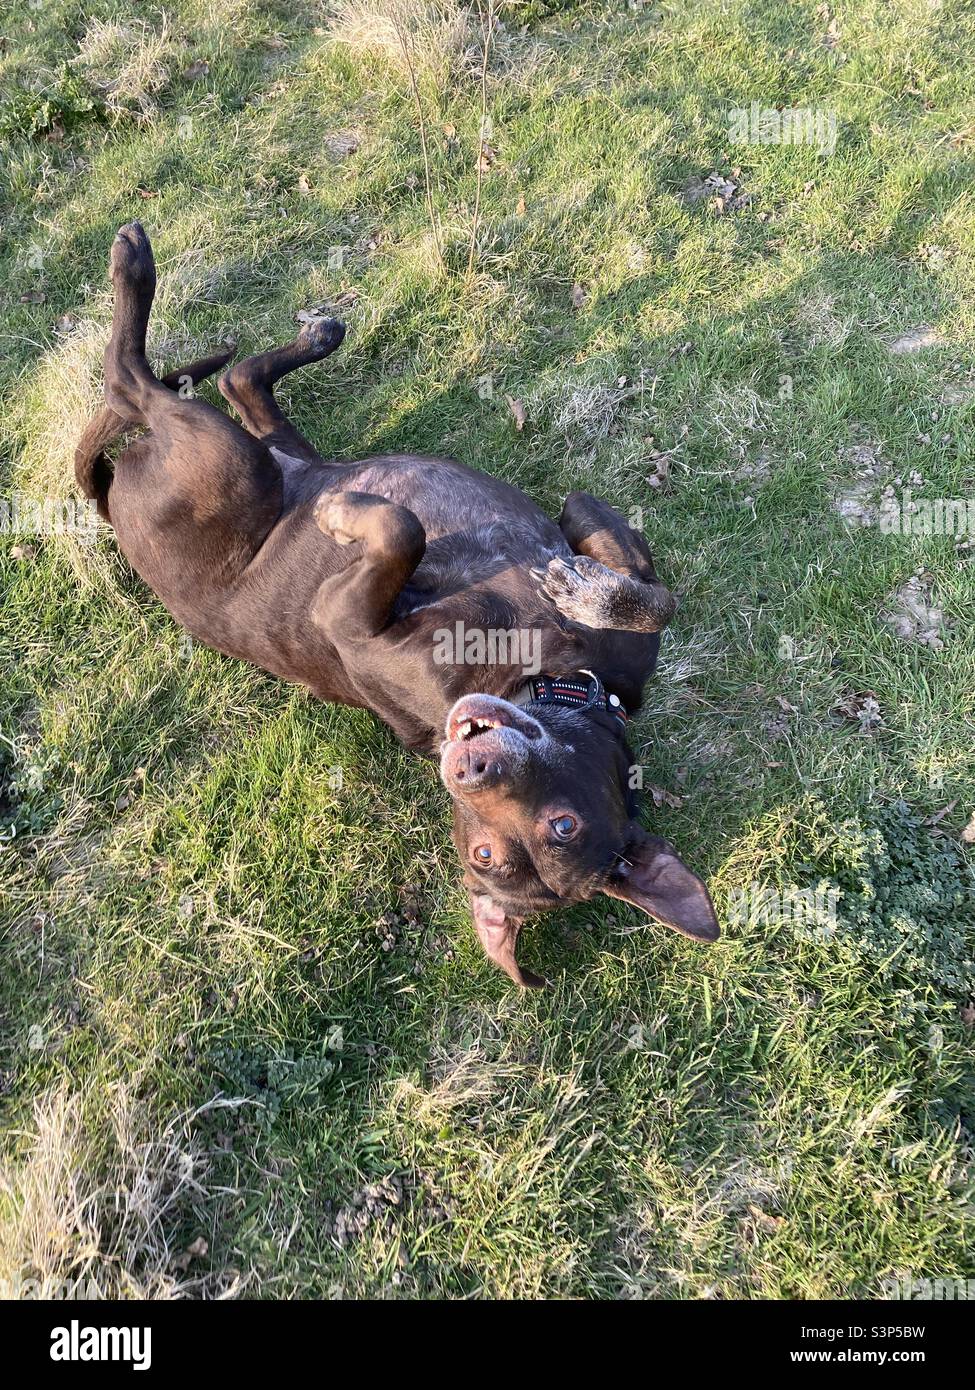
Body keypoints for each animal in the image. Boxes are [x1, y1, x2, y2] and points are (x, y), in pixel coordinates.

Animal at [74, 225, 717, 989]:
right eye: (488, 852)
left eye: (551, 831)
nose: (462, 767)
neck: (551, 675)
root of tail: (109, 498)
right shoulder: (578, 536)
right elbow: (646, 591)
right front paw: (585, 586)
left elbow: (413, 531)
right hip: (243, 459)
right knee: (165, 379)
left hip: (234, 460)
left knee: (170, 382)